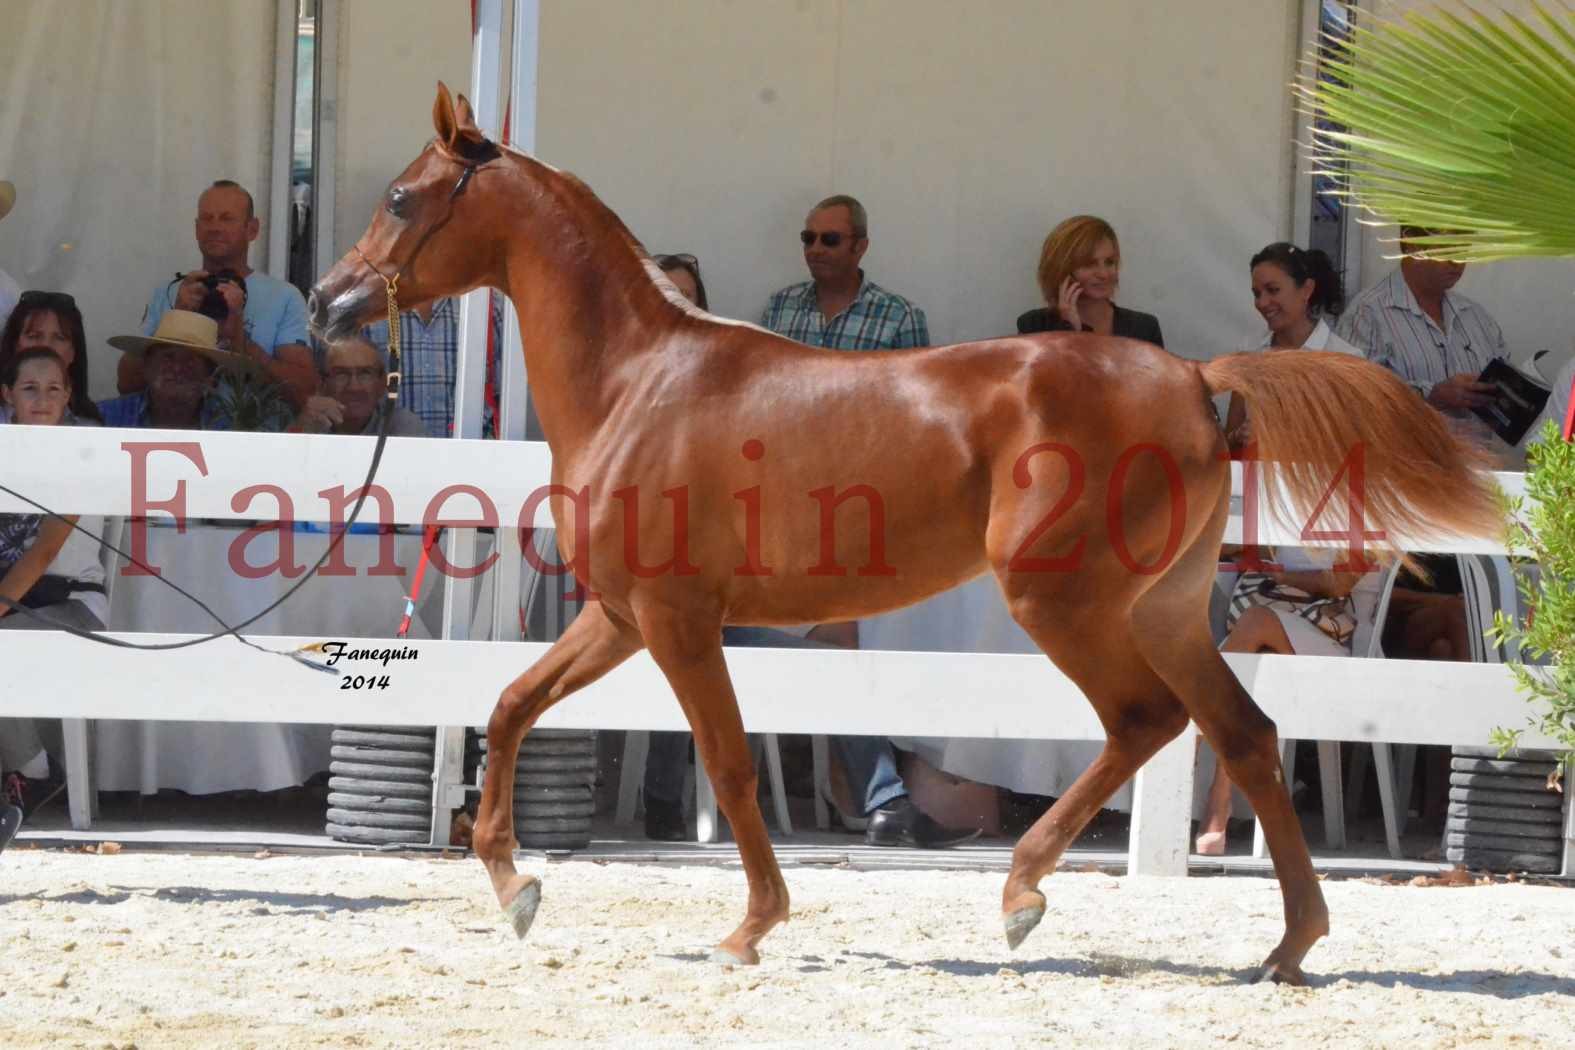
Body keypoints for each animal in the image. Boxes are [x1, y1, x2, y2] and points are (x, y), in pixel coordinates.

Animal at [310, 86, 1499, 988]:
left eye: (403, 197)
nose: (327, 302)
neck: (640, 382)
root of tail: (1195, 378)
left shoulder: (679, 619)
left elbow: (729, 763)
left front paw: (749, 926)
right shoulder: (620, 614)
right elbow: (512, 704)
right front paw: (515, 887)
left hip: (1061, 601)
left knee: (1144, 721)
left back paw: (1023, 895)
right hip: (1166, 609)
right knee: (1244, 734)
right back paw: (1290, 947)